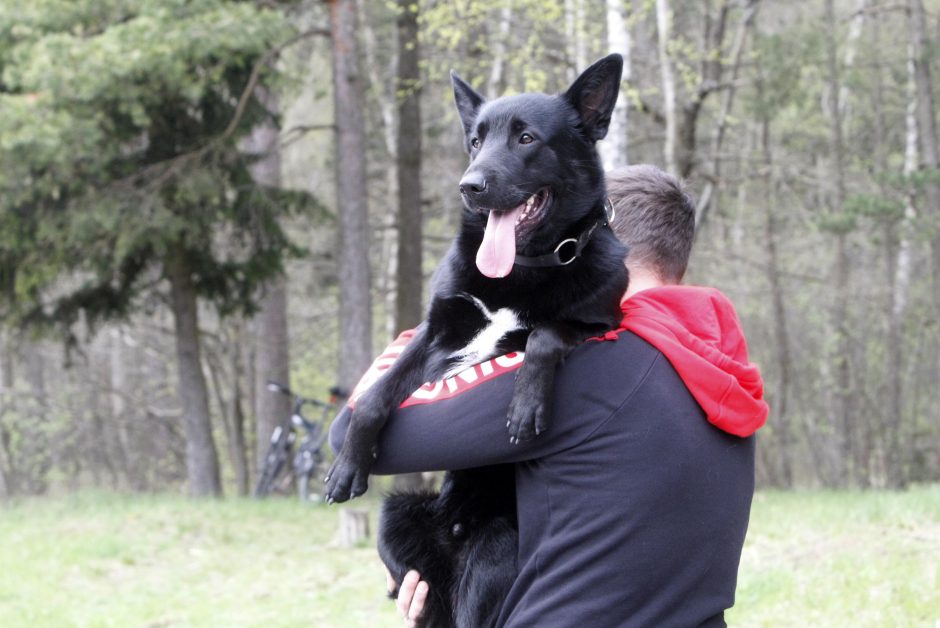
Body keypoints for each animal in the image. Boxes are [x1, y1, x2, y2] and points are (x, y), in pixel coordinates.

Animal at [326, 55, 628, 628]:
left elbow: (547, 333)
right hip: (397, 517)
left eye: (527, 138)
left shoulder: (602, 322)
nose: (469, 186)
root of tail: (457, 538)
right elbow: (375, 395)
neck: (523, 266)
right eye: (475, 141)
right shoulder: (435, 333)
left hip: (499, 548)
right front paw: (349, 461)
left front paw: (527, 402)